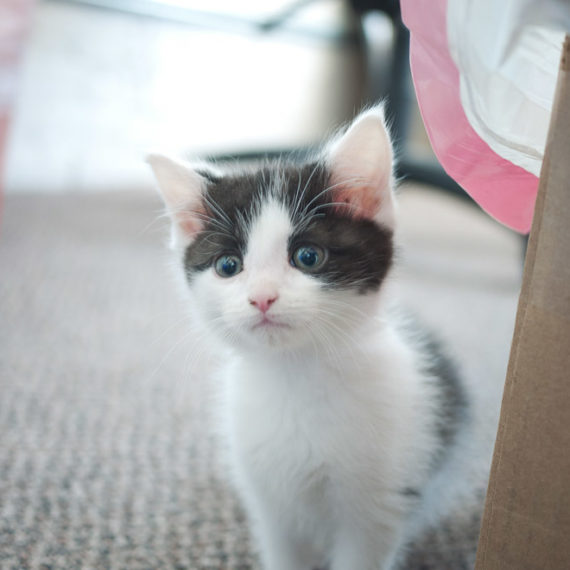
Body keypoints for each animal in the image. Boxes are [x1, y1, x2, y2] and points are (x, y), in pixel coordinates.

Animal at [146, 104, 466, 564]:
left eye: (308, 257)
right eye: (228, 266)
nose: (262, 298)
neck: (295, 375)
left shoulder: (378, 502)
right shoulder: (268, 497)